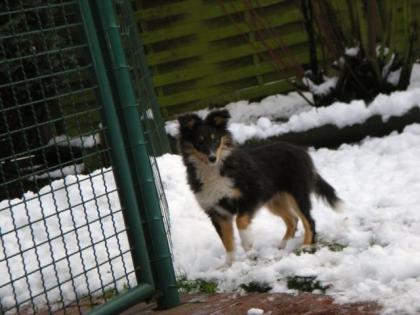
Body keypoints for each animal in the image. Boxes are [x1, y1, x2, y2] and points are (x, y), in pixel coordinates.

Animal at [176, 110, 342, 266]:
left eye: (215, 139)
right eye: (200, 142)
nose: (212, 158)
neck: (215, 169)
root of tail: (302, 151)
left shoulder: (250, 195)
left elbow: (240, 221)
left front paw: (248, 245)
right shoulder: (216, 212)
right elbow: (227, 241)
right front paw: (228, 265)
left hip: (297, 193)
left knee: (309, 220)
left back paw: (306, 246)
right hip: (275, 200)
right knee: (292, 219)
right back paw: (284, 244)